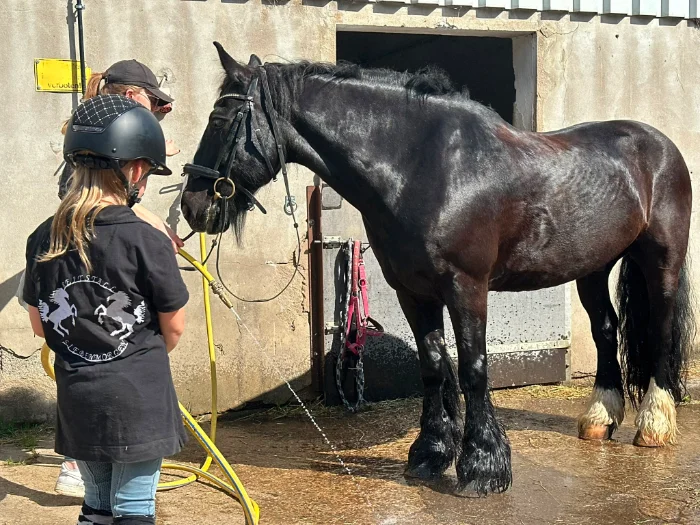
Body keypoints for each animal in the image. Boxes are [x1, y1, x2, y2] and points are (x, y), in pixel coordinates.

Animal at [180, 42, 695, 495]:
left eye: (221, 121)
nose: (192, 207)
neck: (423, 168)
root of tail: (660, 145)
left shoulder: (466, 287)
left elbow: (473, 369)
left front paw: (484, 467)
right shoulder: (412, 290)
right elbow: (432, 366)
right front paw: (429, 456)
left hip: (661, 259)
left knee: (661, 327)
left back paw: (653, 424)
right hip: (592, 266)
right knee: (607, 330)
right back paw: (600, 420)